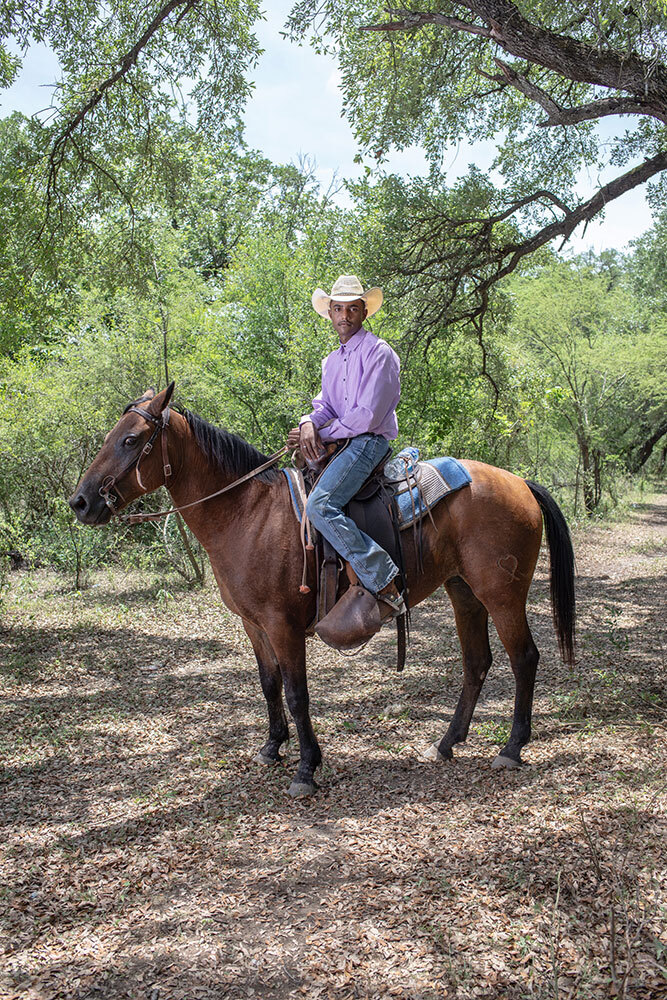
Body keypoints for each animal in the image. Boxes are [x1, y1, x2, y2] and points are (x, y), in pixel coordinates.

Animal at [70, 382, 576, 796]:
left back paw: (511, 748)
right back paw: (447, 743)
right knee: (477, 663)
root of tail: (519, 483)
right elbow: (269, 684)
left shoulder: (283, 626)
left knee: (524, 658)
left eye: (131, 440)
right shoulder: (254, 626)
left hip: (502, 593)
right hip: (464, 592)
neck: (246, 513)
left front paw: (306, 768)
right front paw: (272, 747)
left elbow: (297, 694)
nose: (81, 502)